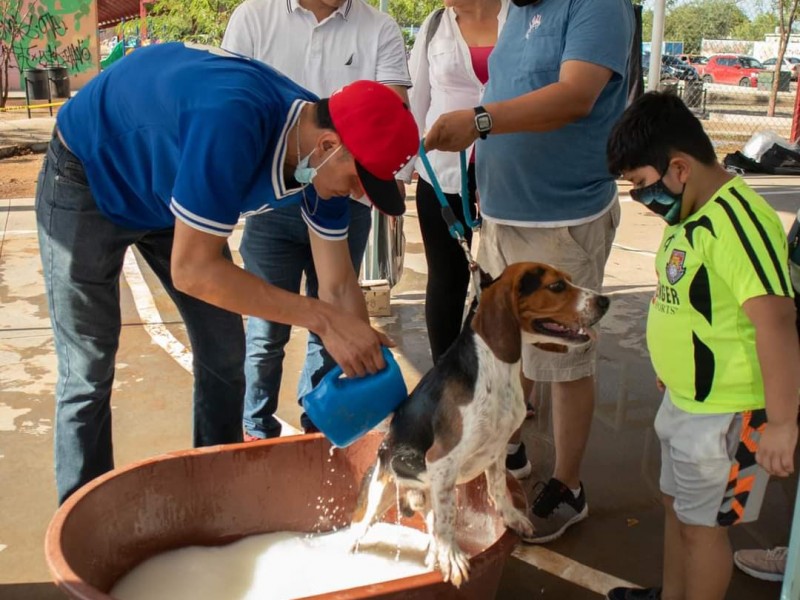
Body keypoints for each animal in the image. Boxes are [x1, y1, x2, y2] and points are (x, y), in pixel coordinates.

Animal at [352, 262, 612, 584]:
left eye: (570, 280)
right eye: (556, 287)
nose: (605, 301)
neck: (494, 366)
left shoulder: (497, 449)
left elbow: (498, 489)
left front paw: (511, 518)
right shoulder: (441, 460)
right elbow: (449, 519)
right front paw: (453, 557)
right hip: (373, 504)